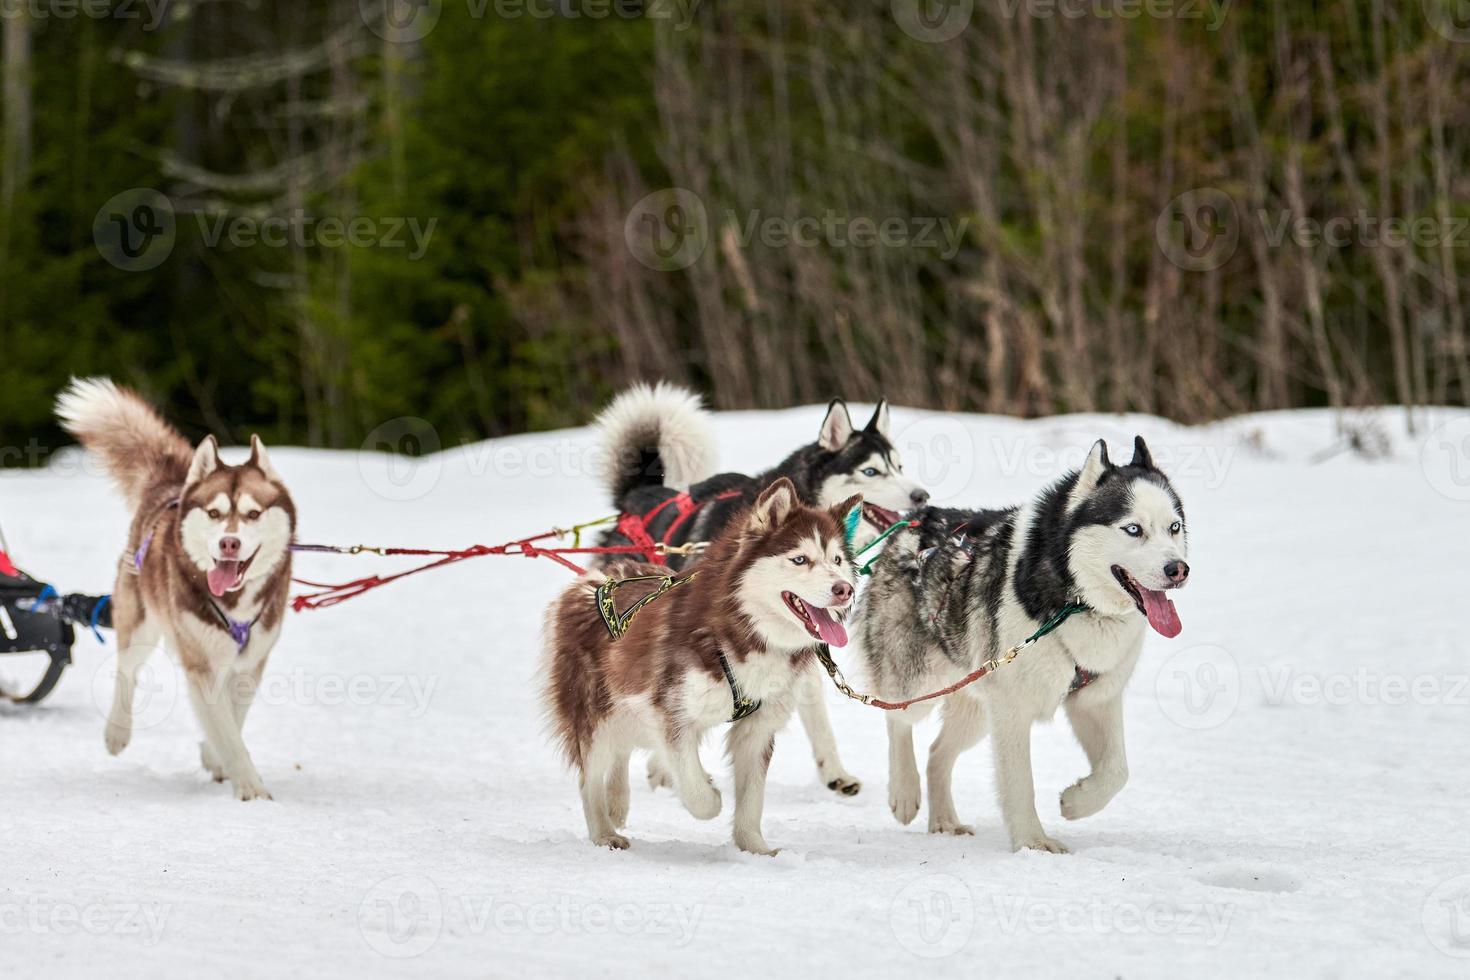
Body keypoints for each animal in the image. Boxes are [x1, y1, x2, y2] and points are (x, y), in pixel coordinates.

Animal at [57, 379, 295, 799]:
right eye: (215, 513)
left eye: (253, 513)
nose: (229, 543)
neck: (233, 602)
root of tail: (171, 486)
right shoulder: (202, 662)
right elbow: (229, 732)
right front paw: (250, 787)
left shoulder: (249, 662)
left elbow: (232, 721)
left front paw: (216, 758)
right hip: (139, 621)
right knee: (127, 671)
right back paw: (117, 731)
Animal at [543, 478, 858, 852]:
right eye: (800, 559)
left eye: (837, 559)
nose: (845, 589)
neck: (742, 631)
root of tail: (592, 577)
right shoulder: (672, 715)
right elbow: (697, 794)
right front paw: (710, 792)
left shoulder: (758, 727)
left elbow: (752, 798)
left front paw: (754, 847)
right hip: (594, 712)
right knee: (590, 776)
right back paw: (604, 831)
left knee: (618, 755)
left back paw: (617, 803)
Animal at [588, 382, 923, 799]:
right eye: (872, 471)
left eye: (900, 467)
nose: (921, 496)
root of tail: (638, 499)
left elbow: (815, 713)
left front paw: (834, 772)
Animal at [858, 437, 1187, 852]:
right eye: (1133, 529)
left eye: (1174, 527)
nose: (1179, 570)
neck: (1074, 599)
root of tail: (916, 520)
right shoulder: (1012, 710)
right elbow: (1020, 783)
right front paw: (1033, 842)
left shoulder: (1096, 699)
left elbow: (1117, 770)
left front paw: (1076, 802)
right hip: (920, 681)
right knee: (896, 716)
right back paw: (904, 792)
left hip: (976, 706)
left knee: (936, 754)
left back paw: (945, 821)